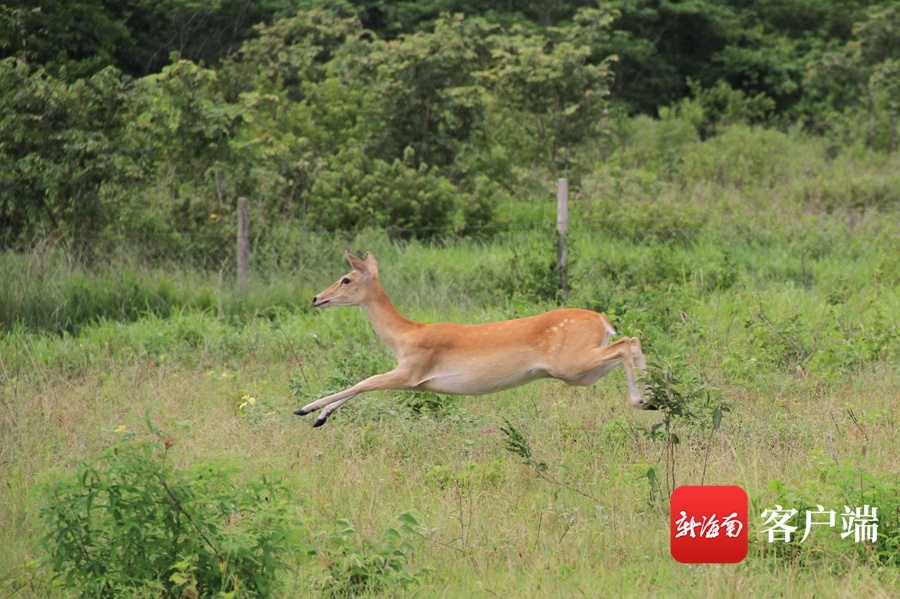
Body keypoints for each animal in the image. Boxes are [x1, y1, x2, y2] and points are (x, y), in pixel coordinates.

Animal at [298, 251, 652, 428]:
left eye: (345, 279)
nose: (316, 298)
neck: (405, 335)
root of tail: (603, 321)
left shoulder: (413, 370)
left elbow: (364, 381)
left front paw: (306, 409)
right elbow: (364, 385)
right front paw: (319, 418)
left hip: (570, 362)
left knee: (627, 343)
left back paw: (643, 400)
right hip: (579, 373)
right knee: (630, 343)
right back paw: (653, 398)